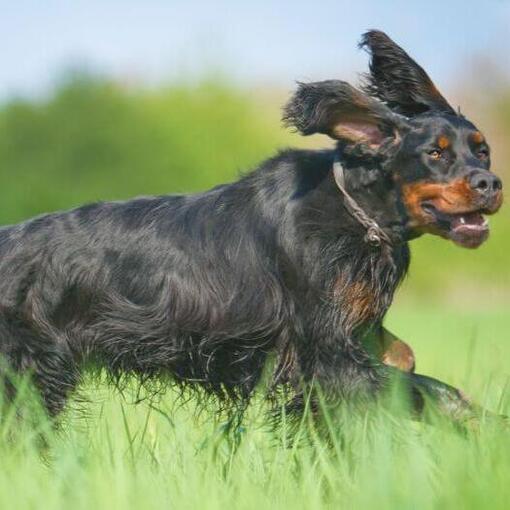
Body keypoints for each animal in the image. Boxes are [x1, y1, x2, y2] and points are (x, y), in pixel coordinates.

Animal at [0, 28, 502, 426]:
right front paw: (486, 428)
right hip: (33, 376)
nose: (491, 183)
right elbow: (427, 389)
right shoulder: (327, 355)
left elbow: (406, 361)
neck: (355, 212)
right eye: (435, 153)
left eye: (483, 151)